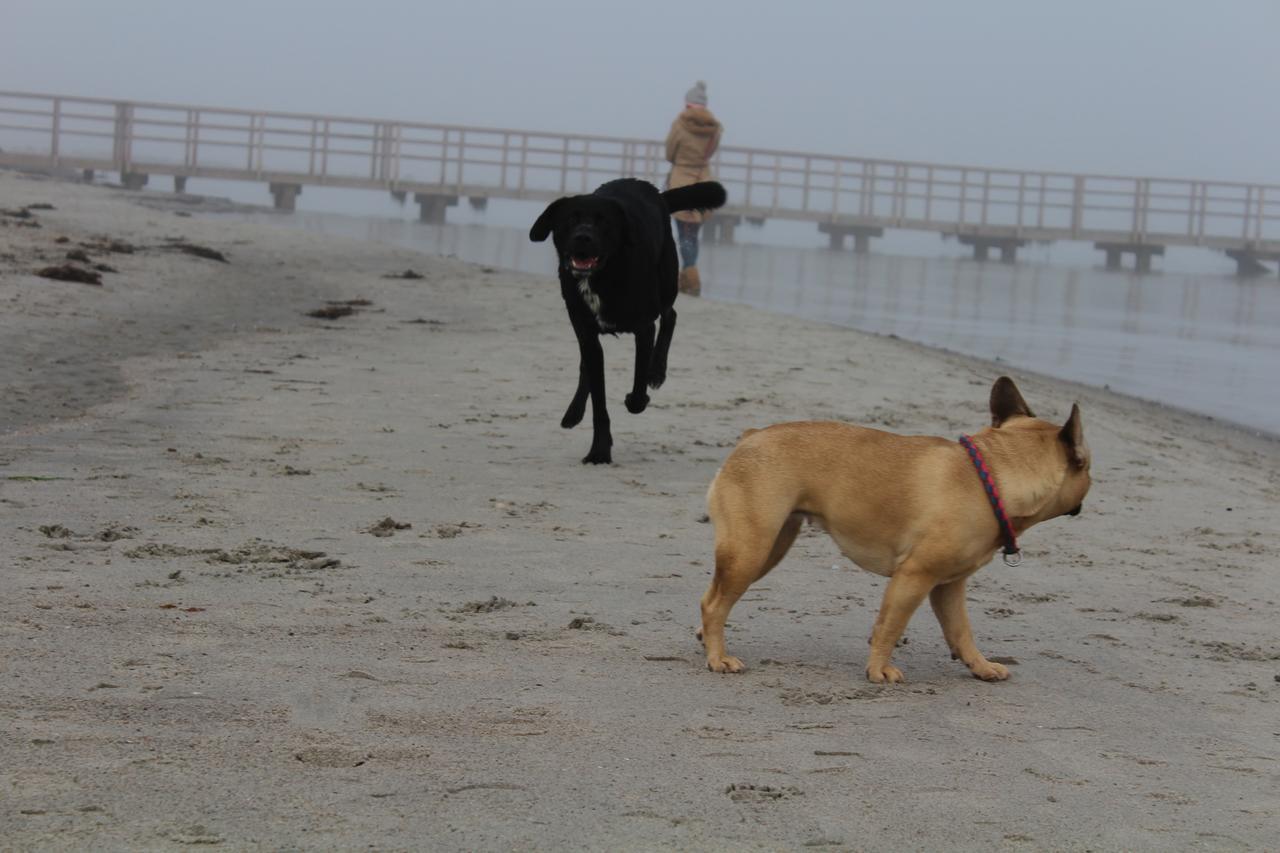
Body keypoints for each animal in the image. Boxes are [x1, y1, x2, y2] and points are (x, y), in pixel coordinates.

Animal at [532, 175, 732, 461]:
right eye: (570, 219)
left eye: (603, 221)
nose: (583, 238)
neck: (603, 276)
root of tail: (653, 191)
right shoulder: (587, 334)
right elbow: (598, 398)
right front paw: (599, 451)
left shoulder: (644, 328)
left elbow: (638, 380)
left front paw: (637, 398)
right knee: (585, 366)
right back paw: (573, 412)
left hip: (666, 282)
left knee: (671, 315)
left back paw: (657, 372)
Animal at [701, 376, 1090, 681]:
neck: (994, 476)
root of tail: (750, 437)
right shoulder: (915, 576)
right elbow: (890, 625)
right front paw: (879, 671)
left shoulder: (948, 587)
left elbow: (961, 630)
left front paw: (980, 666)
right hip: (751, 548)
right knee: (717, 604)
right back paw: (718, 657)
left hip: (769, 546)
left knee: (712, 595)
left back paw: (705, 640)